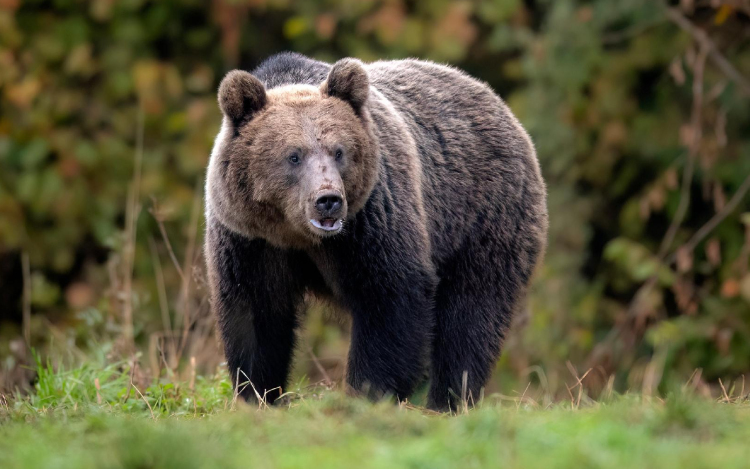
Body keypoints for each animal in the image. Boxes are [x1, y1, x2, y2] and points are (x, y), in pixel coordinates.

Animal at [204, 52, 548, 410]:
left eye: (339, 151)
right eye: (293, 156)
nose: (328, 200)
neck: (298, 235)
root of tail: (497, 102)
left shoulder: (371, 220)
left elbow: (390, 297)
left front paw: (366, 392)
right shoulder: (250, 239)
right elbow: (255, 314)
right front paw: (258, 394)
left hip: (481, 216)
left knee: (471, 313)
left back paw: (448, 399)